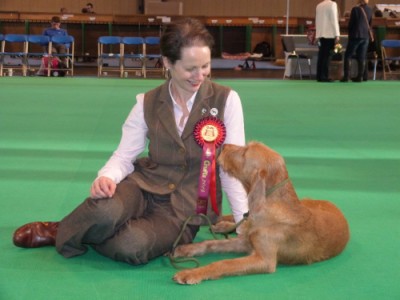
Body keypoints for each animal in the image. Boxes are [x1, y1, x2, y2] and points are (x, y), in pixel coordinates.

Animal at [173, 142, 348, 284]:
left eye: (245, 152)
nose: (223, 146)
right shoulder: (246, 241)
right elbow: (211, 243)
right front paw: (186, 249)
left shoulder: (264, 259)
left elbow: (225, 263)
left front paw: (191, 273)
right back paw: (221, 224)